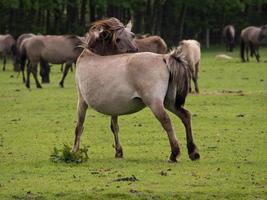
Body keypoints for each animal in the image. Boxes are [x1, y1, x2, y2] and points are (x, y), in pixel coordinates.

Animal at [72, 17, 200, 162]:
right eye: (118, 39)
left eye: (132, 36)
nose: (134, 50)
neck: (90, 56)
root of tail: (164, 58)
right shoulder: (113, 106)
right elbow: (114, 126)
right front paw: (118, 152)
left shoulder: (82, 101)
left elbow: (79, 126)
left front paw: (74, 151)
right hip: (169, 102)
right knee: (185, 116)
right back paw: (193, 152)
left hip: (155, 103)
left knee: (166, 120)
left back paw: (174, 153)